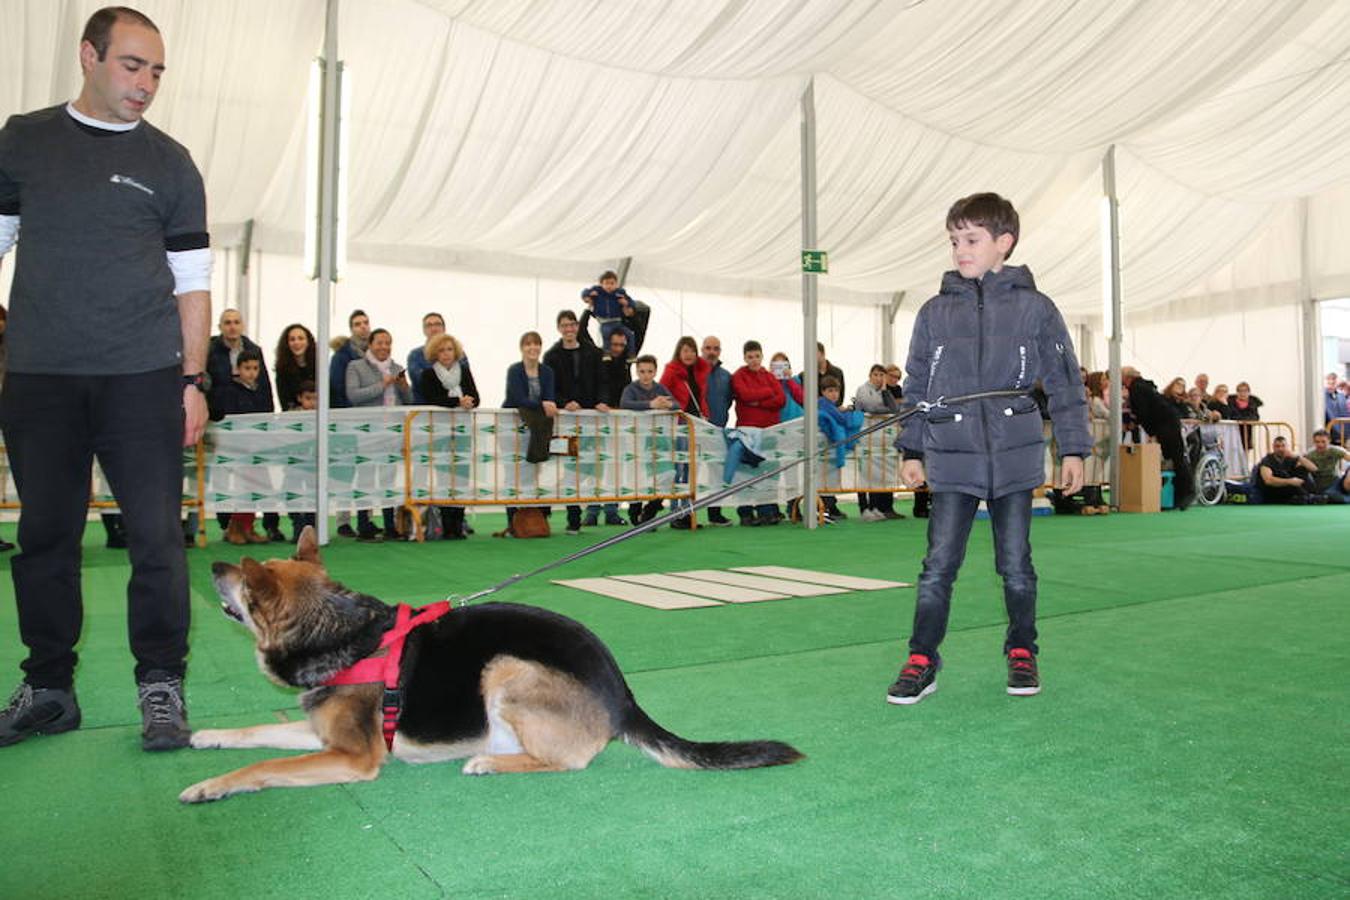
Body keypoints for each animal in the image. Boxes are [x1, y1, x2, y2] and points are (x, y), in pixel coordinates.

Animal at [184, 528, 804, 804]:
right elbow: (253, 733)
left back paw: (488, 762)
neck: (343, 632)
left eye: (243, 582)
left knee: (569, 761)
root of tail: (623, 693)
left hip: (505, 668)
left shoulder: (352, 756)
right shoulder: (320, 734)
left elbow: (264, 765)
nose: (211, 565)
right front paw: (208, 737)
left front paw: (210, 785)